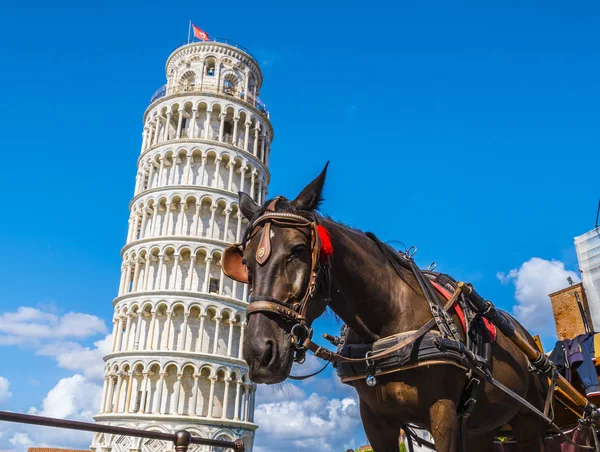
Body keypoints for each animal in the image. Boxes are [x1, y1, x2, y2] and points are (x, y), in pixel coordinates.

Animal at [227, 165, 552, 452]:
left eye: (297, 250)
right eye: (245, 262)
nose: (259, 353)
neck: (391, 319)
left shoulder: (444, 413)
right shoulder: (375, 419)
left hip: (528, 421)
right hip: (481, 428)